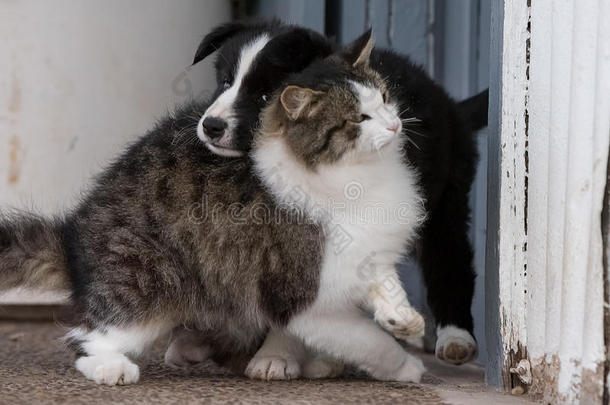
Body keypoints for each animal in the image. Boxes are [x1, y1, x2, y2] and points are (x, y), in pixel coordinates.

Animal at [165, 19, 484, 378]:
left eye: (265, 95)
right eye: (225, 81)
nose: (211, 126)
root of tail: (451, 103)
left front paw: (276, 355)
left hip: (445, 198)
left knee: (450, 258)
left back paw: (455, 338)